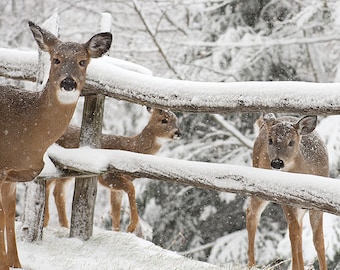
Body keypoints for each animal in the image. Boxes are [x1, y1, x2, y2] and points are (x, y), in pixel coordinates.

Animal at [0, 22, 112, 268]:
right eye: (56, 59)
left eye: (83, 61)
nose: (68, 83)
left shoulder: (13, 176)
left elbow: (8, 214)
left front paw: (16, 264)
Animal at [45, 107, 181, 232]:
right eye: (164, 120)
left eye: (176, 120)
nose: (178, 133)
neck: (131, 147)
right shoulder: (107, 176)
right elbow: (131, 188)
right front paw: (132, 227)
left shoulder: (115, 187)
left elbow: (116, 210)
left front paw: (117, 232)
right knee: (48, 184)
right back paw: (48, 221)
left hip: (67, 172)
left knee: (57, 191)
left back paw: (63, 226)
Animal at [247, 114, 330, 270]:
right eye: (270, 140)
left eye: (291, 142)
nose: (277, 162)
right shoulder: (286, 200)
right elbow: (294, 234)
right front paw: (297, 267)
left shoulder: (318, 205)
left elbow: (318, 240)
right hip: (261, 183)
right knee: (251, 214)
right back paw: (251, 265)